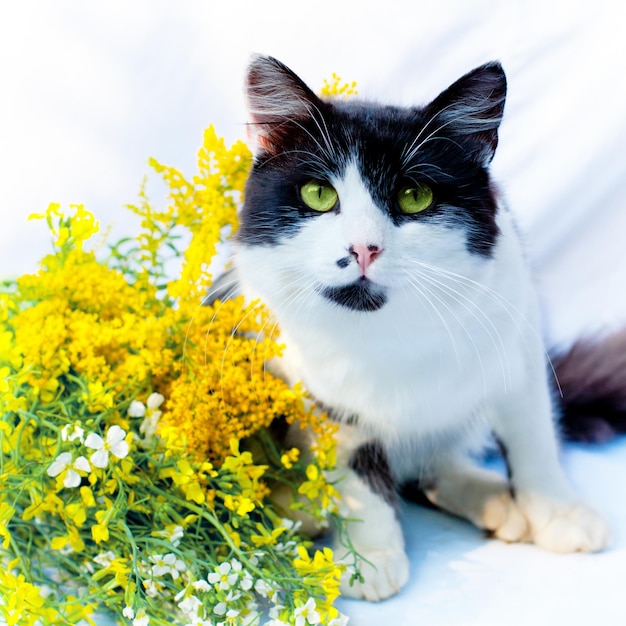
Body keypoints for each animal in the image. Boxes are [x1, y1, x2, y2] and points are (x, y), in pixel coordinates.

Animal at [225, 57, 616, 600]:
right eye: (319, 194)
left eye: (415, 196)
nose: (364, 248)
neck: (393, 330)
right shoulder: (324, 400)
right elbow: (358, 478)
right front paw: (370, 557)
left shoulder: (517, 340)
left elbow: (533, 434)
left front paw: (559, 512)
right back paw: (299, 509)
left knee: (436, 465)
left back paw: (495, 500)